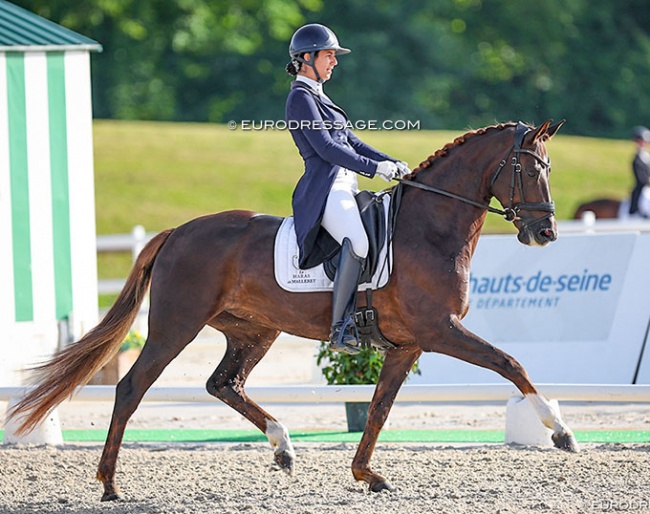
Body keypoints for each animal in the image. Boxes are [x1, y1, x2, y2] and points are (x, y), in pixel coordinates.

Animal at [5, 118, 576, 498]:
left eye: (550, 169)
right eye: (530, 170)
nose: (546, 232)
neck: (428, 230)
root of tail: (177, 232)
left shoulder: (407, 344)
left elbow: (378, 408)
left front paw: (367, 475)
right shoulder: (439, 330)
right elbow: (509, 363)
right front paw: (560, 431)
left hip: (254, 331)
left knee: (224, 384)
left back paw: (283, 446)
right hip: (175, 326)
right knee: (130, 388)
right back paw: (109, 484)